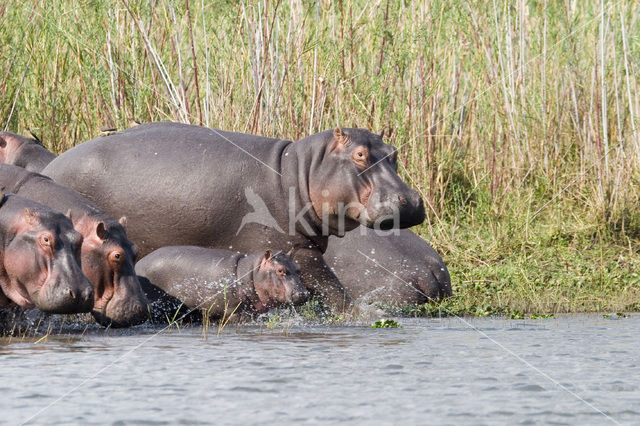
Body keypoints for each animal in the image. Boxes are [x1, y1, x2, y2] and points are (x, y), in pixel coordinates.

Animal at [43, 121, 424, 312]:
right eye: (359, 155)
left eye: (394, 153)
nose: (410, 201)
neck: (302, 171)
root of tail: (51, 165)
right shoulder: (299, 251)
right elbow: (334, 288)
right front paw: (366, 315)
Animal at [136, 246, 310, 322]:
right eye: (280, 270)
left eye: (298, 268)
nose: (303, 293)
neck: (249, 272)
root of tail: (137, 265)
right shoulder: (235, 313)